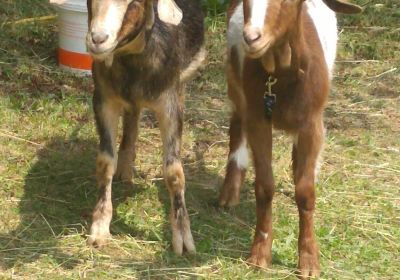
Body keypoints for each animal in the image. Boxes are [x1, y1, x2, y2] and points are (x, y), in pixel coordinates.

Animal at [85, 0, 205, 255]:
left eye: (133, 3)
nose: (98, 39)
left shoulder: (170, 102)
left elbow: (174, 172)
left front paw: (182, 238)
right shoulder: (104, 99)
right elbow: (105, 162)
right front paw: (99, 228)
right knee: (132, 119)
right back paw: (125, 168)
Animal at [219, 0, 362, 276]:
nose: (251, 37)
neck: (281, 75)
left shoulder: (311, 124)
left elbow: (305, 192)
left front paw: (308, 261)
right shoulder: (259, 118)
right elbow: (264, 186)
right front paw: (259, 254)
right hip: (235, 82)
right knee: (237, 121)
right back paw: (229, 192)